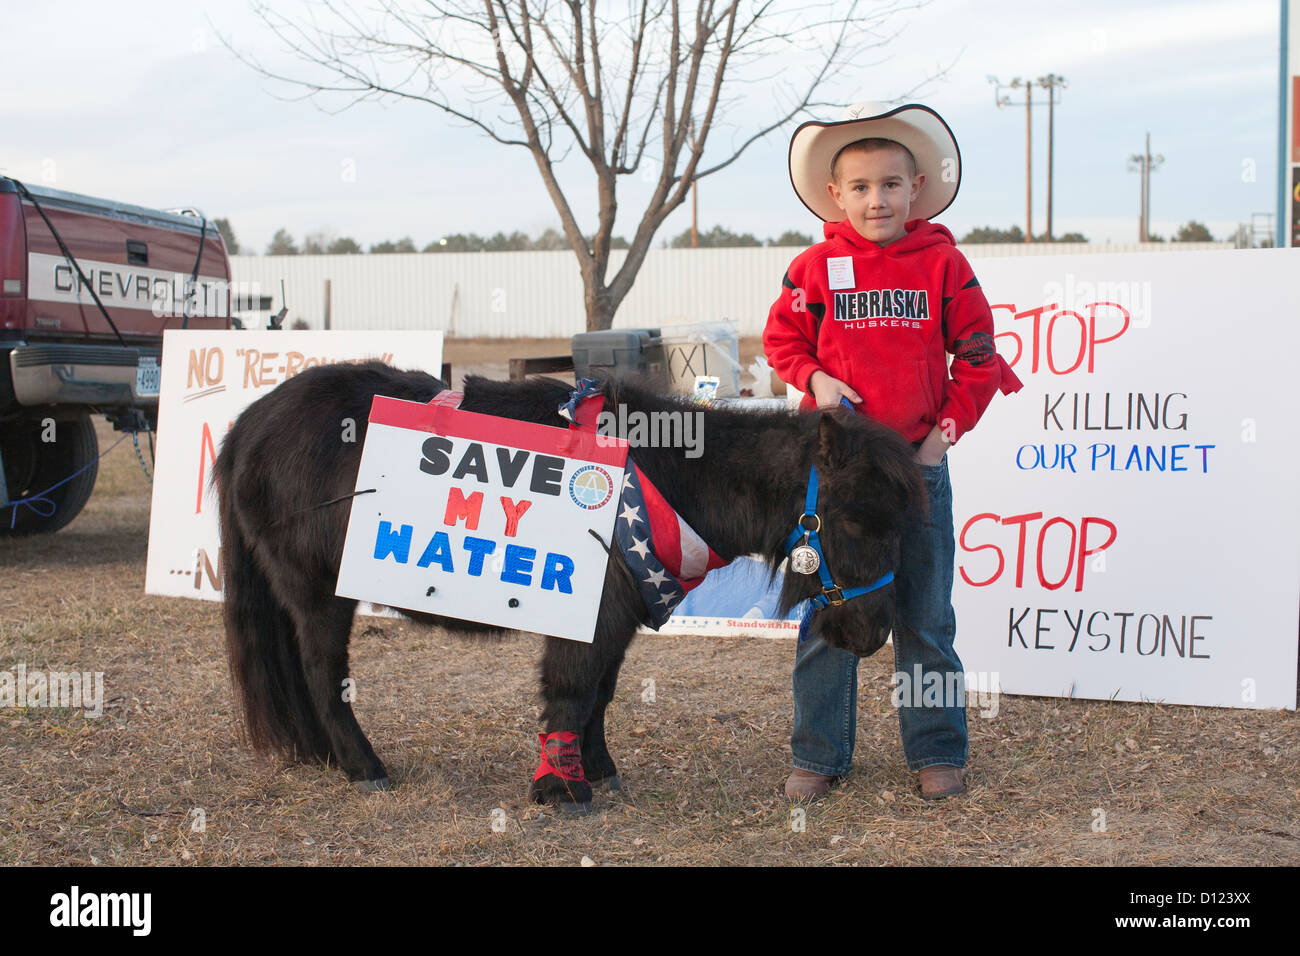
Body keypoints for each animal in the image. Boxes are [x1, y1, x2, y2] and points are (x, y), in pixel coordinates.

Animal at [215, 361, 925, 811]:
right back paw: (365, 769)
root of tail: (252, 421)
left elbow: (601, 696)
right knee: (322, 677)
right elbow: (572, 689)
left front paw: (598, 772)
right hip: (318, 596)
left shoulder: (616, 617)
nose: (873, 633)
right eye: (857, 520)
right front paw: (559, 788)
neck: (666, 473)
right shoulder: (592, 618)